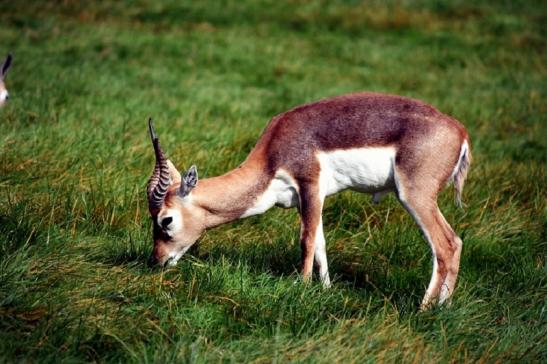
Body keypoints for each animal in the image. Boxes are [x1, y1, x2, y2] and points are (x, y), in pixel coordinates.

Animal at [147, 93, 470, 308]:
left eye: (166, 220)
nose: (157, 261)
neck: (274, 152)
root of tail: (460, 132)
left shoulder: (310, 185)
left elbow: (306, 240)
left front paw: (300, 288)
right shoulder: (307, 200)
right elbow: (320, 243)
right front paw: (325, 290)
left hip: (414, 196)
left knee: (445, 244)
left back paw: (423, 309)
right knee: (455, 243)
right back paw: (443, 307)